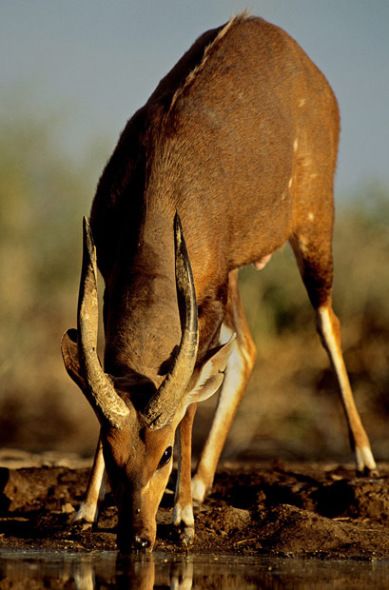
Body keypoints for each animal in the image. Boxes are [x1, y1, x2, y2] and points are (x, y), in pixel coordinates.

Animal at [61, 13, 376, 552]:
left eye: (164, 454)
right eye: (113, 448)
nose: (137, 537)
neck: (161, 184)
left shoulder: (204, 295)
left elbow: (188, 403)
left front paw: (183, 516)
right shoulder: (123, 276)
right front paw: (84, 509)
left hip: (314, 222)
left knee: (325, 322)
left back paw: (364, 458)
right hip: (235, 275)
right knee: (246, 348)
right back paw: (206, 482)